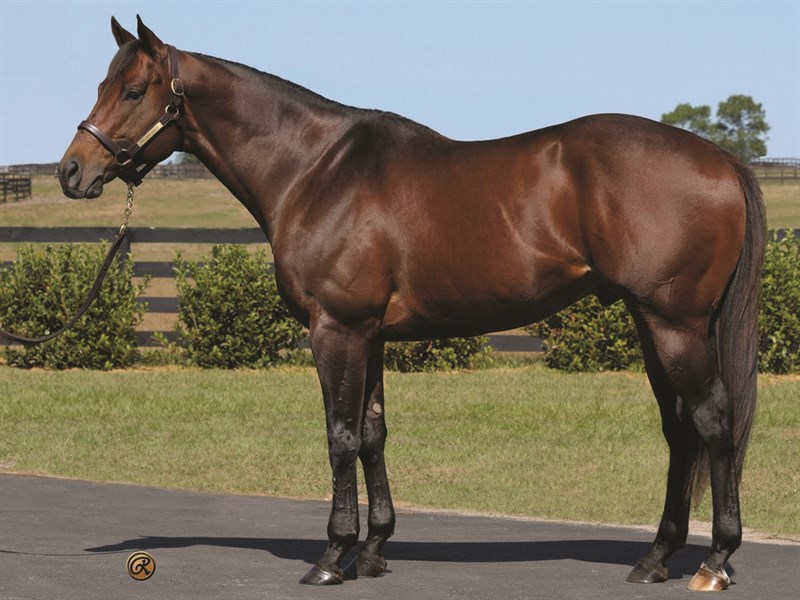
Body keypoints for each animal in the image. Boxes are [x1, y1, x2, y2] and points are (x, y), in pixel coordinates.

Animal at [57, 17, 766, 592]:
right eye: (102, 83)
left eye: (132, 91)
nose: (72, 171)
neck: (315, 170)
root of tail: (720, 158)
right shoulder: (368, 334)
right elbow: (373, 433)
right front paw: (372, 550)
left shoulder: (336, 329)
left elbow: (340, 435)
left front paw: (331, 556)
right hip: (654, 324)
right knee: (680, 431)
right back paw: (656, 558)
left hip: (673, 325)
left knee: (712, 422)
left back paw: (713, 562)